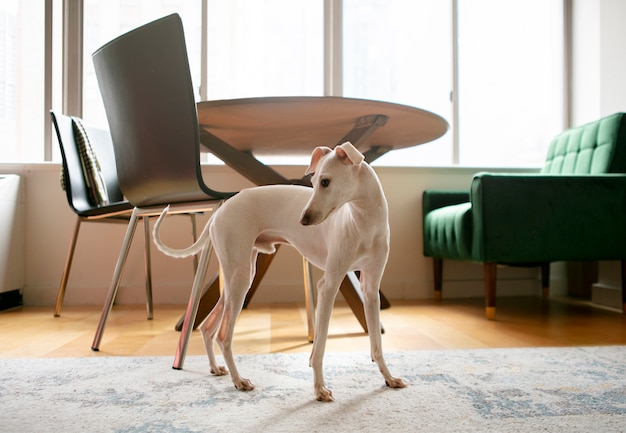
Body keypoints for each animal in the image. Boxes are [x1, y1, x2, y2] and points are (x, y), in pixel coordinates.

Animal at [152, 143, 404, 402]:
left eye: (325, 182)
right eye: (314, 182)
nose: (303, 219)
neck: (364, 222)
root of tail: (219, 212)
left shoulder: (370, 289)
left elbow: (377, 344)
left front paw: (389, 378)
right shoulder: (328, 286)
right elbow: (319, 347)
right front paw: (319, 389)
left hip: (238, 277)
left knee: (207, 327)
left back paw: (216, 369)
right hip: (240, 277)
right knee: (223, 336)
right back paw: (239, 381)